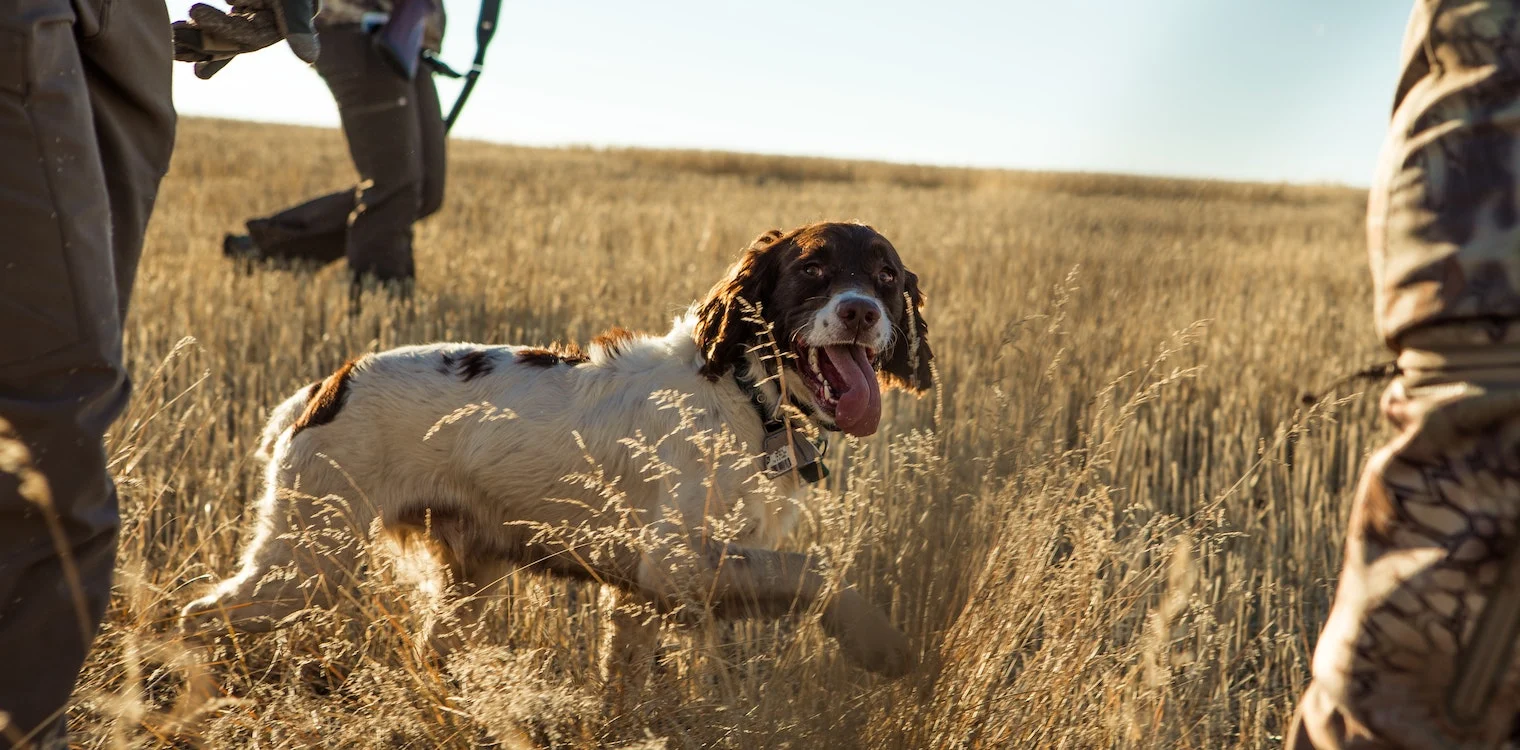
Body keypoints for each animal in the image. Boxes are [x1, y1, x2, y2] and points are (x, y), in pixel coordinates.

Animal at [183, 219, 930, 681]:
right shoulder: (671, 562)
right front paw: (880, 643)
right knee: (197, 616)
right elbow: (816, 570)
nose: (861, 311)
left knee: (431, 649)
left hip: (462, 575)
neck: (748, 398)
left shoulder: (640, 594)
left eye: (888, 276)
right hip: (304, 561)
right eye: (814, 269)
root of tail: (323, 387)